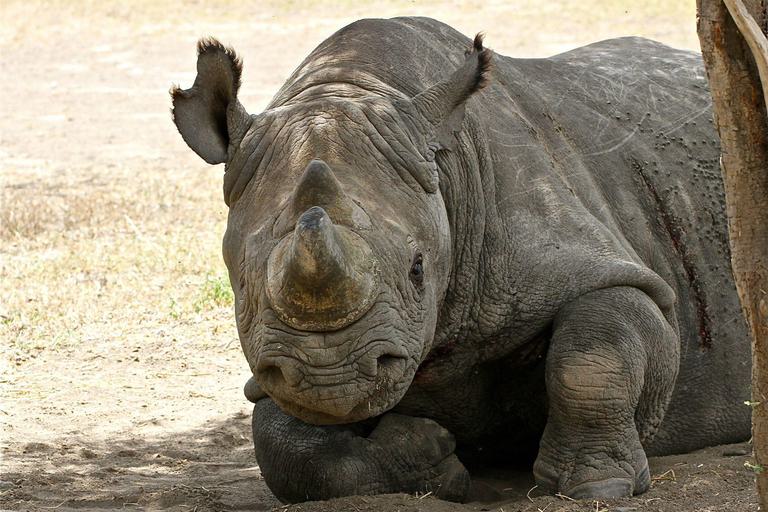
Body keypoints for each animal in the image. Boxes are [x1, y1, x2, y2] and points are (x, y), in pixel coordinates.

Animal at [171, 16, 751, 503]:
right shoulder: (273, 361)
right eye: (240, 282)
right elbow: (284, 444)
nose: (329, 378)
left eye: (418, 268)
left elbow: (592, 353)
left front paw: (597, 486)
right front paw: (430, 461)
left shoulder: (610, 268)